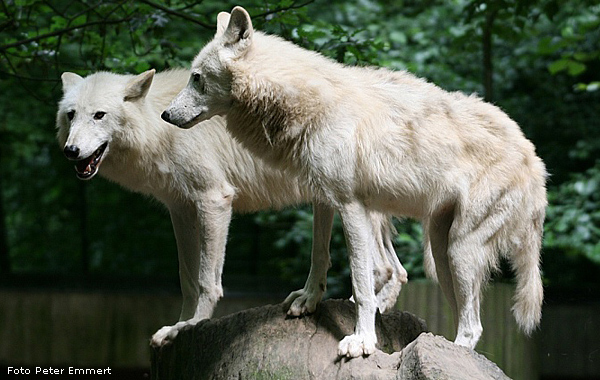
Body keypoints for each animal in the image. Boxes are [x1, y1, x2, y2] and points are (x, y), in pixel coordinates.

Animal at [55, 67, 408, 344]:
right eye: (71, 115)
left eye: (99, 115)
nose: (70, 151)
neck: (157, 127)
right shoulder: (180, 209)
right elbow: (186, 280)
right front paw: (177, 325)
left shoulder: (214, 199)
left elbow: (206, 281)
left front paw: (192, 325)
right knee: (397, 269)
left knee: (385, 267)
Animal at [162, 5, 548, 356]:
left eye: (196, 77)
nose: (165, 115)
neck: (306, 104)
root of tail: (535, 161)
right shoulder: (322, 197)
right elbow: (319, 256)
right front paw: (308, 299)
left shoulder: (352, 206)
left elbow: (362, 284)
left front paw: (361, 341)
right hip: (442, 253)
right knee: (463, 314)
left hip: (459, 251)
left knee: (472, 326)